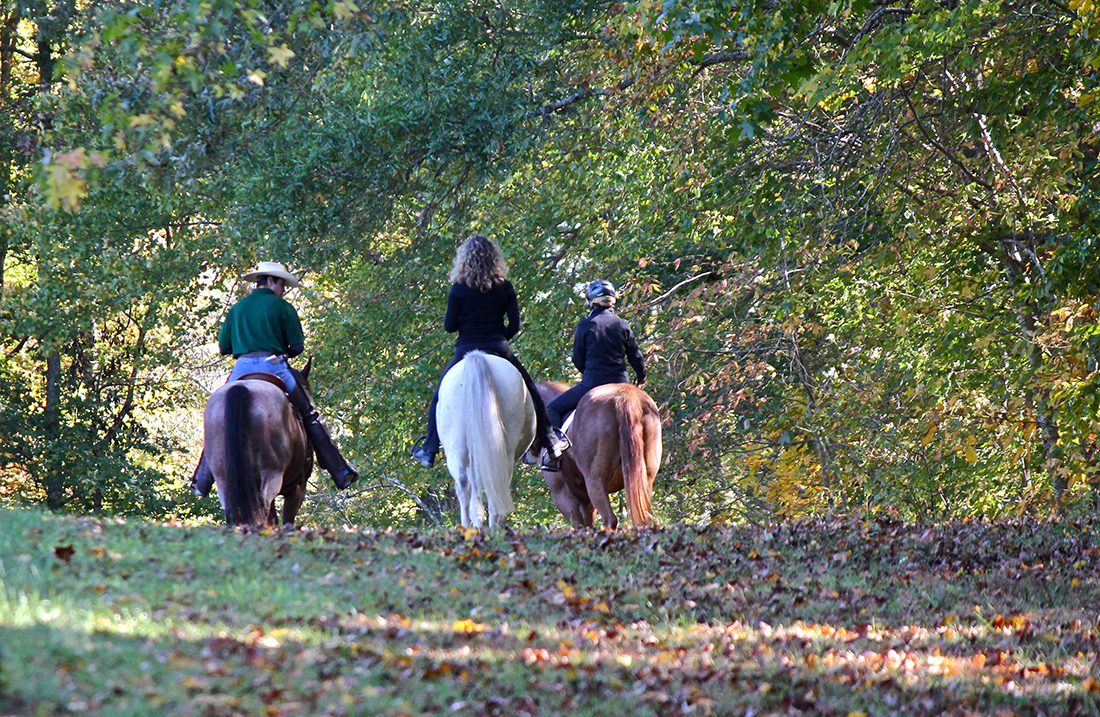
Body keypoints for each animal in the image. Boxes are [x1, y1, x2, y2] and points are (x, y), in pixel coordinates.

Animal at [203, 361, 314, 527]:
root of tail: (242, 389)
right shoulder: (297, 487)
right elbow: (286, 519)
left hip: (222, 476)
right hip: (272, 472)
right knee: (264, 505)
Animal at [532, 381, 662, 529]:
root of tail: (625, 394)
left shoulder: (562, 495)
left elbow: (579, 526)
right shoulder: (585, 501)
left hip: (595, 480)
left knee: (610, 519)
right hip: (645, 480)